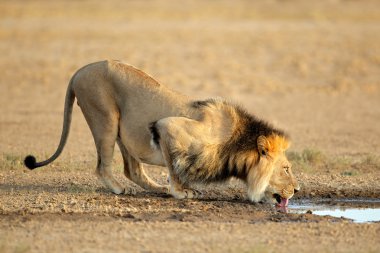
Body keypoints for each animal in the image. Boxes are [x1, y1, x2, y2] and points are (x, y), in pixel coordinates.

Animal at [25, 60, 302, 207]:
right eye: (286, 168)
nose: (298, 190)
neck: (235, 144)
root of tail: (79, 70)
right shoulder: (168, 127)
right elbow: (175, 168)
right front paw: (181, 192)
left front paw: (181, 188)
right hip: (104, 117)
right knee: (103, 166)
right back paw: (119, 188)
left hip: (124, 130)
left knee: (133, 170)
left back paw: (154, 187)